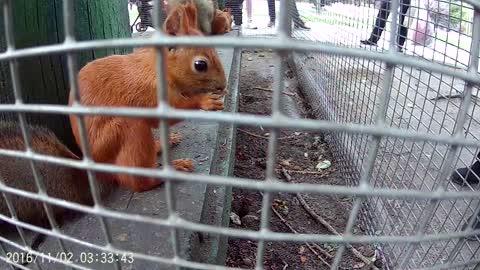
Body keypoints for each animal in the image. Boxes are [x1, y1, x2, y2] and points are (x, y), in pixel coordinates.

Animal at [68, 2, 228, 192]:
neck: (158, 67)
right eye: (200, 65)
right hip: (122, 131)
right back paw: (170, 170)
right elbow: (169, 112)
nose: (223, 86)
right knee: (137, 181)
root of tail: (94, 166)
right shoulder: (151, 91)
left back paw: (162, 143)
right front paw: (205, 101)